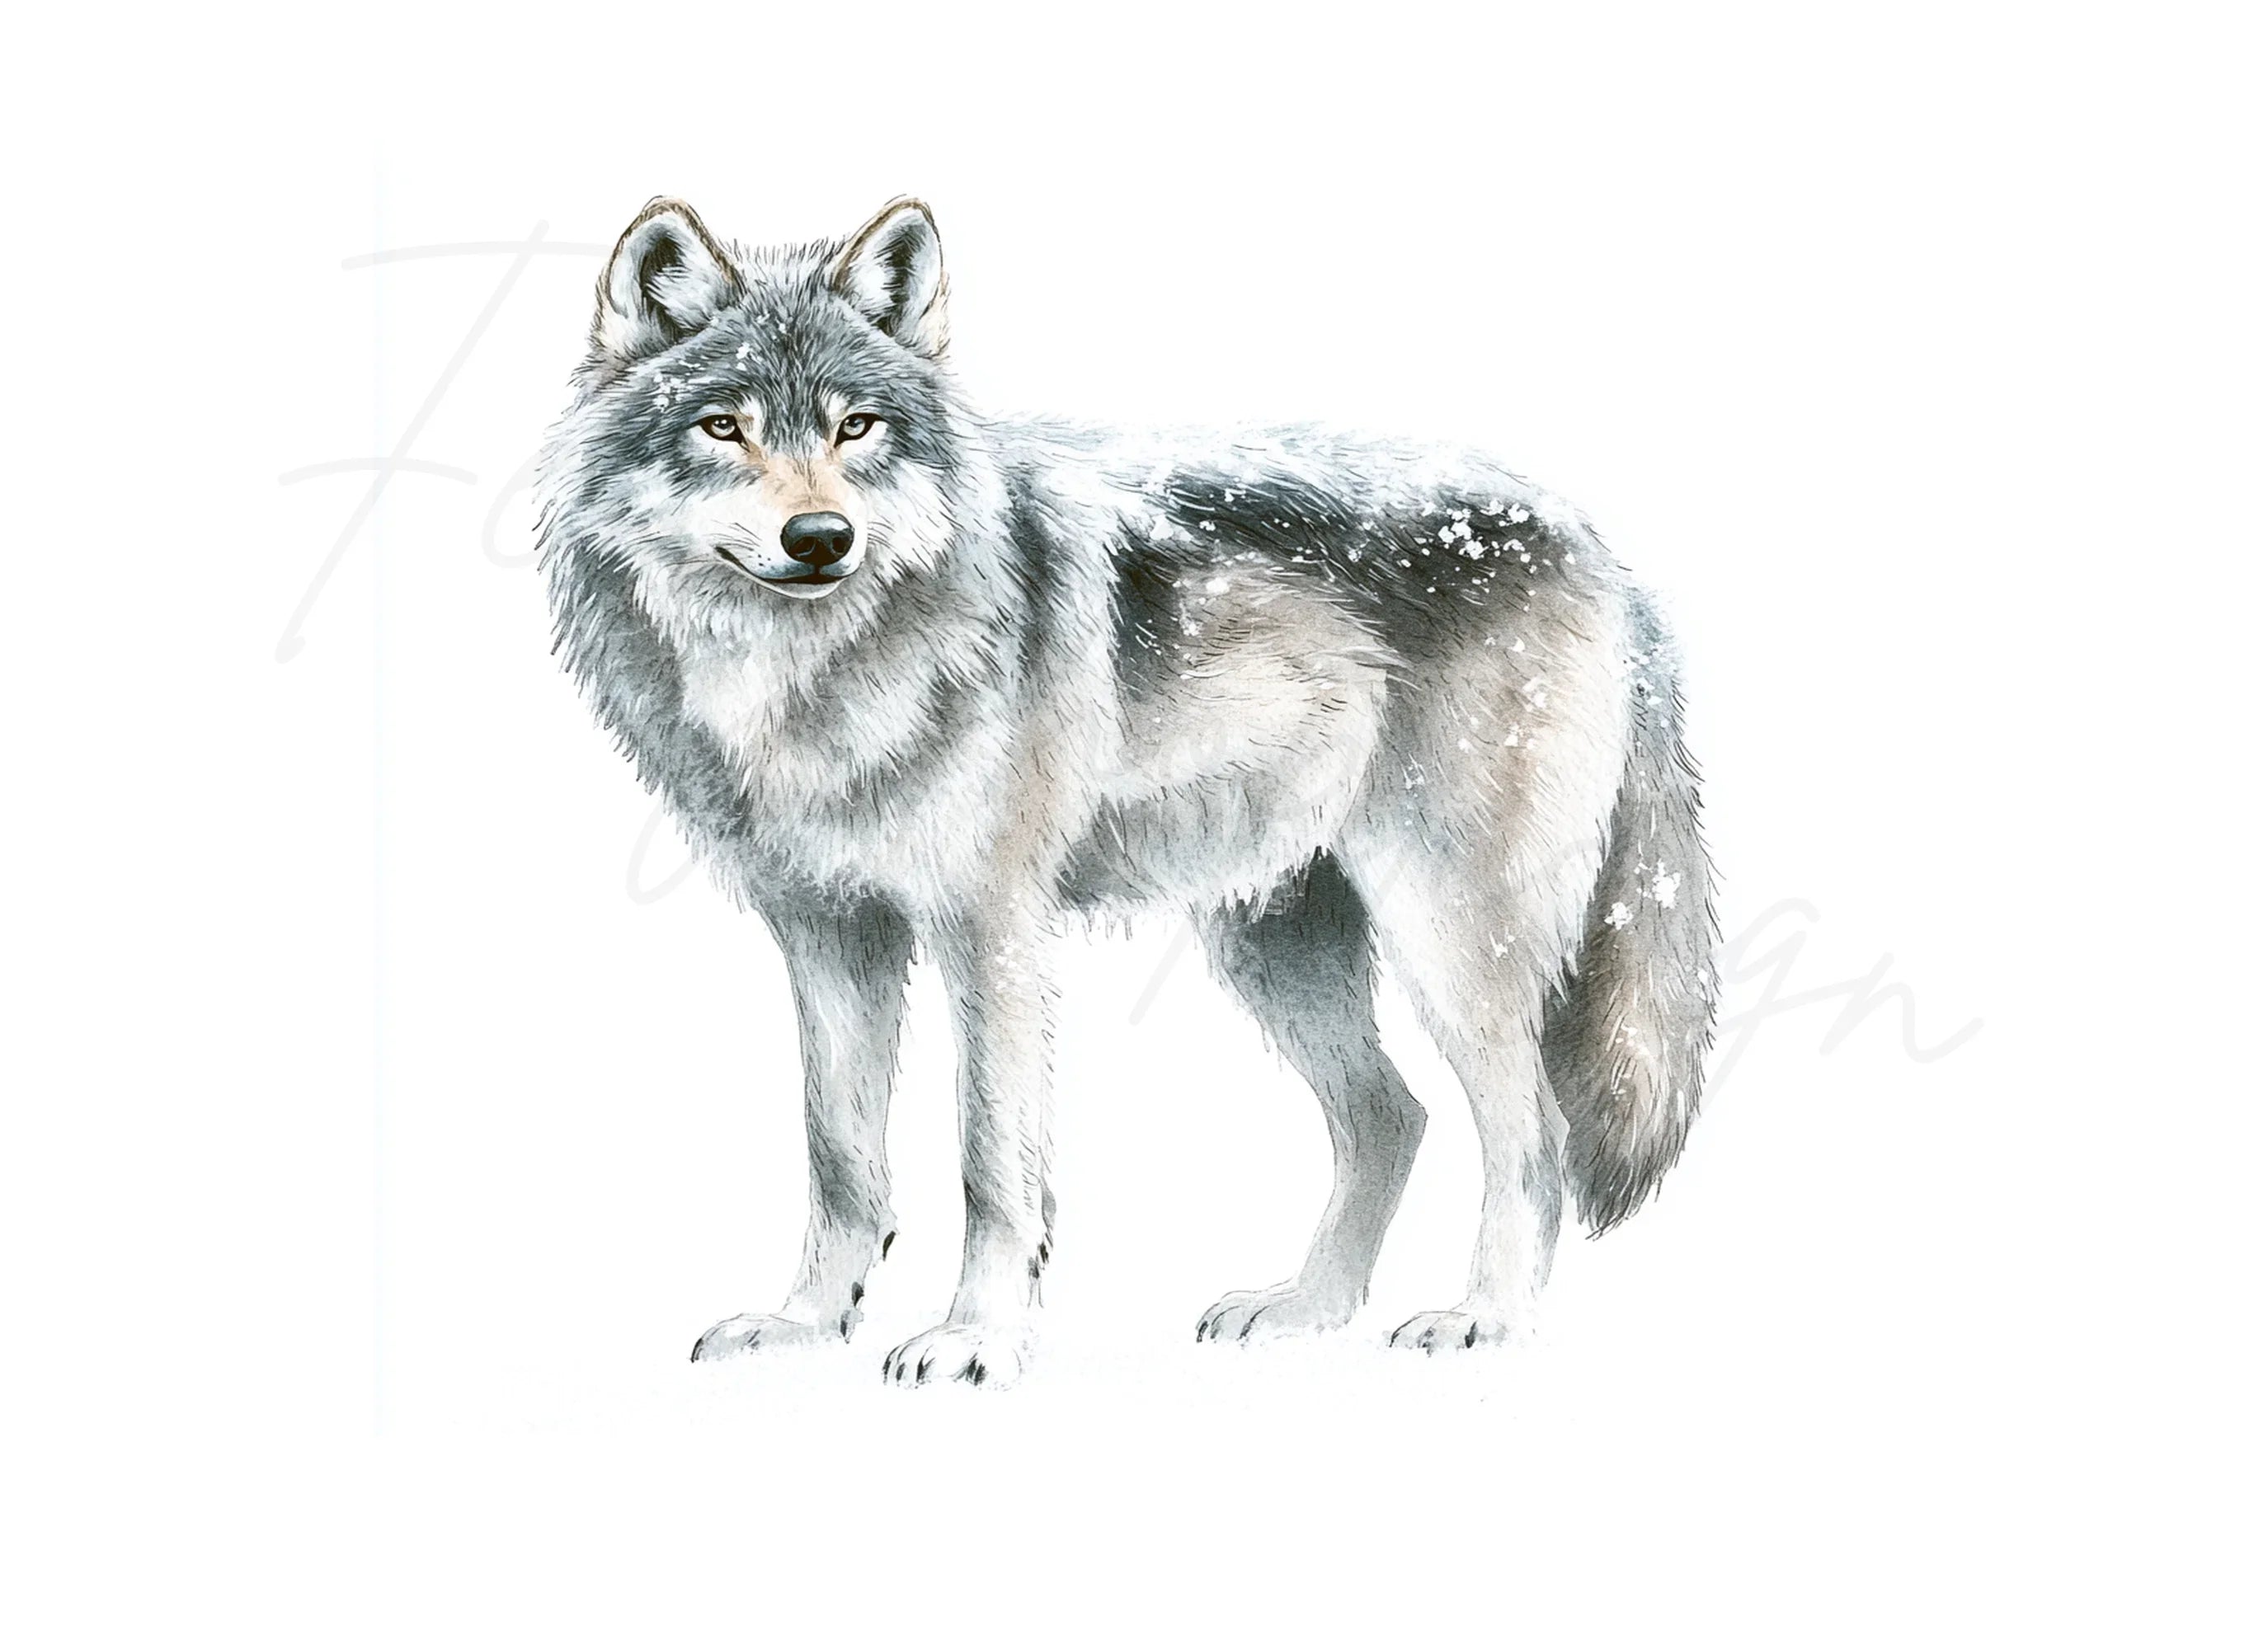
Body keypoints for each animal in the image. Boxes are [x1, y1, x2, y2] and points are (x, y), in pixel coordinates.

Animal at [536, 196, 1719, 1388]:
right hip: (1272, 944)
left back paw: (1485, 1319)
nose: (821, 538)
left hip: (1442, 936)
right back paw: (1305, 1309)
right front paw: (806, 1324)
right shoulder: (827, 932)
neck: (806, 677)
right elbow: (838, 1155)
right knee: (1392, 1118)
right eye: (722, 428)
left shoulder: (989, 931)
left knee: (1535, 1136)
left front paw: (976, 1337)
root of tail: (1601, 552)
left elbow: (990, 1163)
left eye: (856, 427)